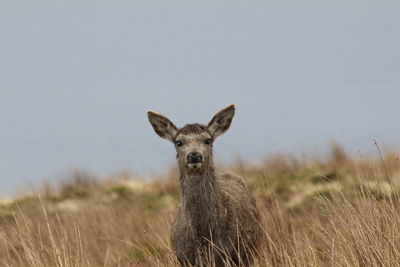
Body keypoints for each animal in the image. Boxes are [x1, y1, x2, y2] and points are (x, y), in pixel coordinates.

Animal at [147, 105, 262, 267]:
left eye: (208, 140)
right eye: (178, 142)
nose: (194, 155)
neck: (203, 236)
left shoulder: (232, 255)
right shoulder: (184, 258)